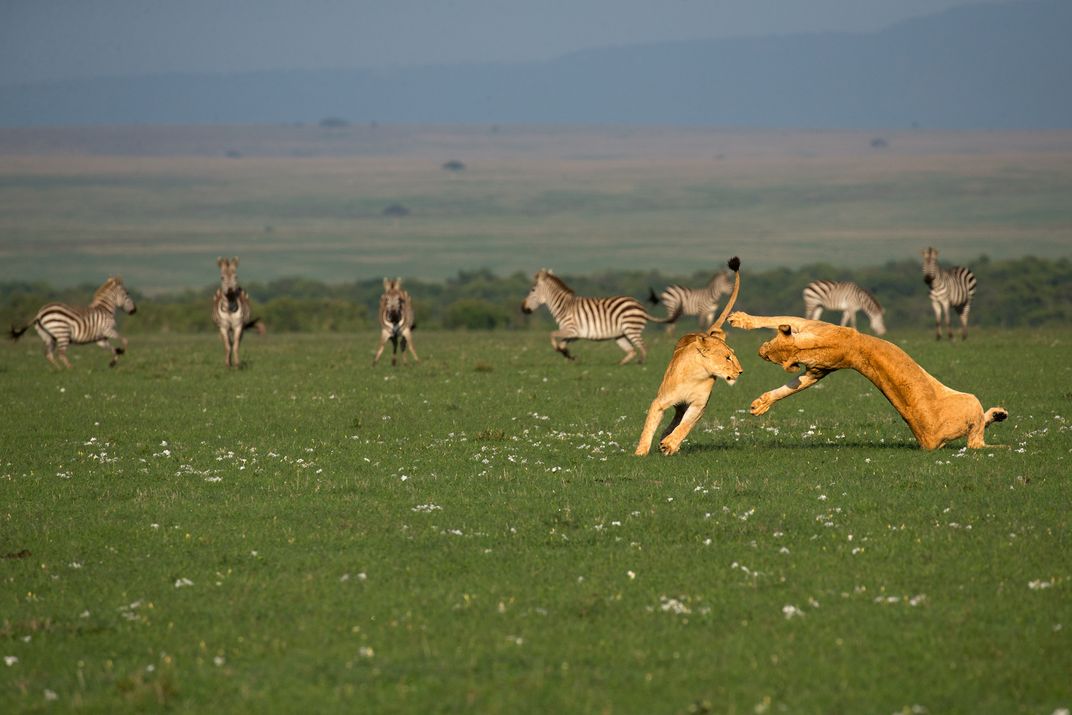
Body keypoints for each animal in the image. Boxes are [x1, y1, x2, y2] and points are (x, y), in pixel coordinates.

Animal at [635, 257, 743, 456]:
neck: (697, 375)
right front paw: (641, 452)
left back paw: (667, 441)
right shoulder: (660, 401)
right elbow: (649, 427)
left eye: (732, 356)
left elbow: (685, 426)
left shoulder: (699, 405)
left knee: (678, 421)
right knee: (674, 419)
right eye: (727, 358)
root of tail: (706, 334)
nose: (741, 371)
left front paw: (670, 444)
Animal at [727, 312, 1008, 450]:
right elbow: (788, 388)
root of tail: (929, 441)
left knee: (976, 440)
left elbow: (773, 320)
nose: (760, 352)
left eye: (770, 349)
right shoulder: (814, 359)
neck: (805, 347)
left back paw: (999, 417)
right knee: (976, 440)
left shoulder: (812, 344)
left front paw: (738, 318)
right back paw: (1000, 416)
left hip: (970, 401)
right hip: (971, 401)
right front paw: (761, 404)